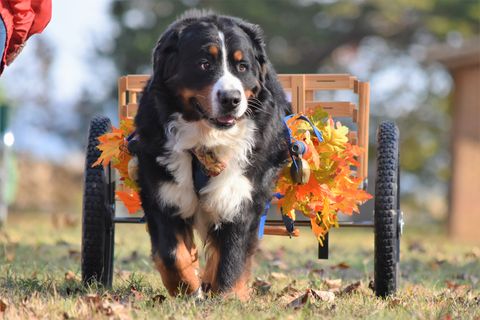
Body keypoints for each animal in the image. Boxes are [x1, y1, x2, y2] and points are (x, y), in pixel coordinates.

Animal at [133, 10, 290, 300]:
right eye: (204, 64)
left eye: (242, 67)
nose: (231, 99)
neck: (206, 141)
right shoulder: (162, 190)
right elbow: (171, 254)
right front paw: (187, 289)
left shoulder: (241, 195)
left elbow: (231, 256)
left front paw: (228, 298)